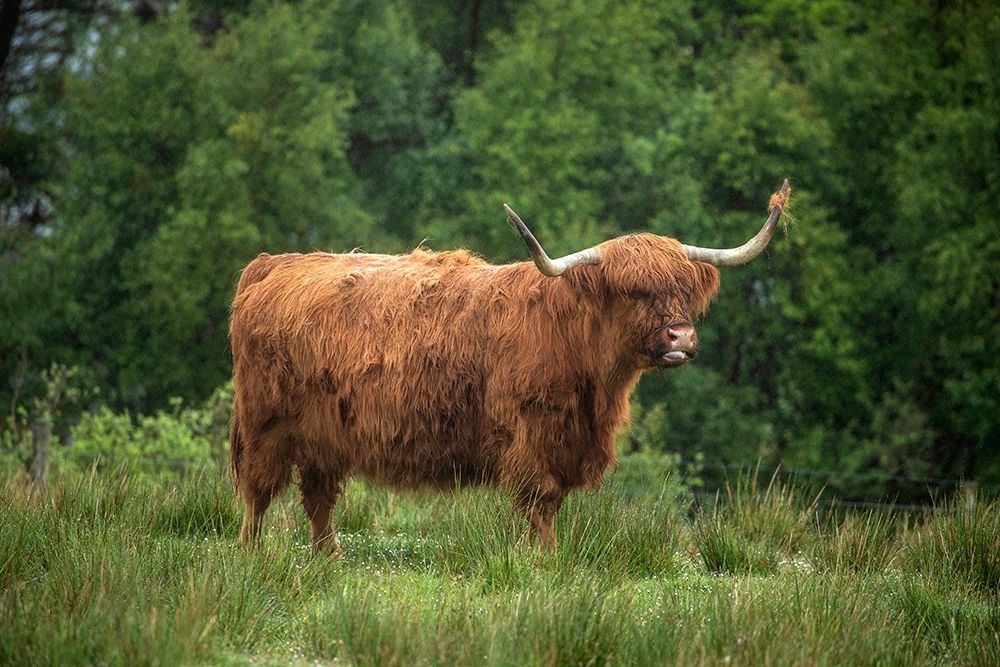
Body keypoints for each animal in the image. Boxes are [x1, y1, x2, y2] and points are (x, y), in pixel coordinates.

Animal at [229, 180, 791, 552]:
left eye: (683, 289)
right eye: (632, 290)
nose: (681, 338)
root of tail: (275, 263)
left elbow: (552, 504)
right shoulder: (532, 436)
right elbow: (540, 504)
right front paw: (544, 560)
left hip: (322, 435)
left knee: (318, 498)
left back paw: (329, 557)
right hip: (266, 424)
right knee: (258, 494)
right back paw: (252, 556)